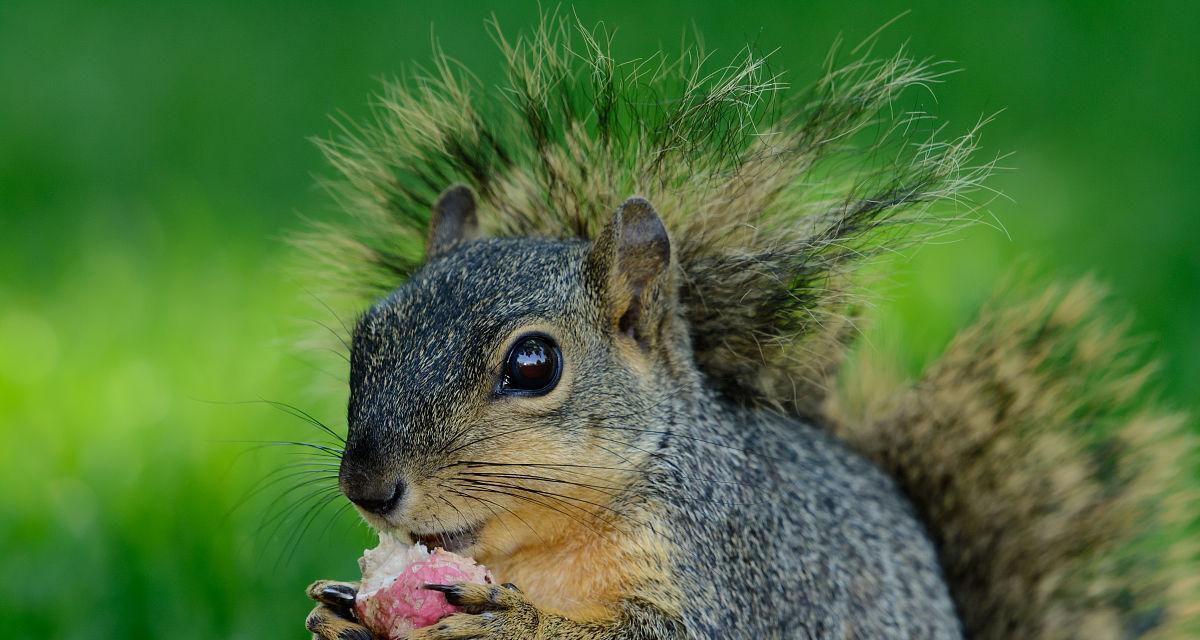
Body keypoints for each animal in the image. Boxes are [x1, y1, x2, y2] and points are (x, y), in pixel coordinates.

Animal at [295, 15, 1195, 638]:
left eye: (534, 365)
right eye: (365, 338)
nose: (367, 486)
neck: (541, 547)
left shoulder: (734, 572)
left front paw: (503, 621)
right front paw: (339, 612)